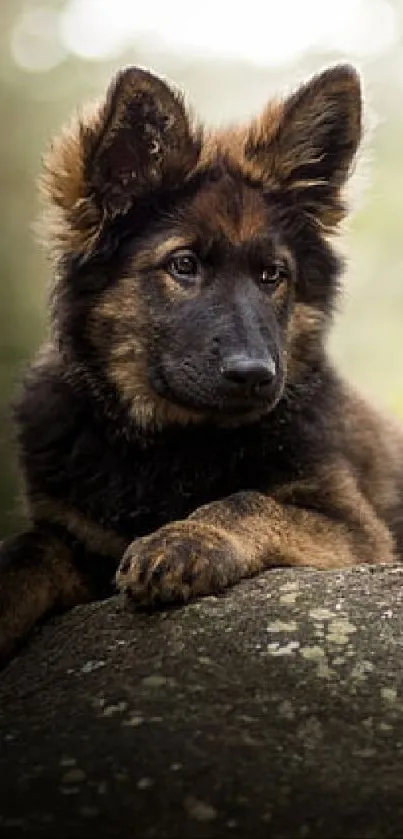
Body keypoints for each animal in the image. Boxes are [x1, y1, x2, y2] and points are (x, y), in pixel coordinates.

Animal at [0, 64, 403, 664]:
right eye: (183, 264)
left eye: (272, 275)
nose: (256, 376)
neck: (169, 447)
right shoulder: (79, 540)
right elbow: (27, 550)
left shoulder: (358, 532)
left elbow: (248, 501)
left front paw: (186, 540)